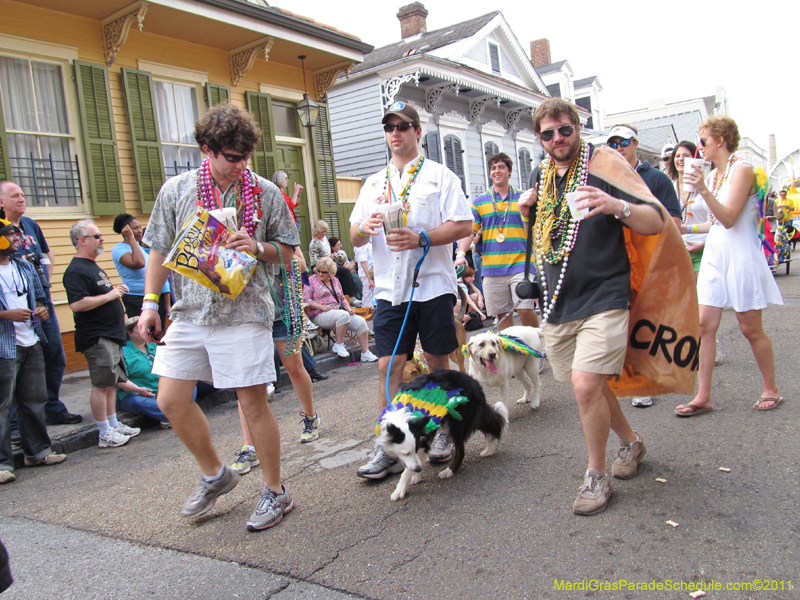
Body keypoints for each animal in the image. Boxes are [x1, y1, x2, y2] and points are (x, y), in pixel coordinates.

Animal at [374, 370, 506, 502]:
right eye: (406, 453)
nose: (418, 469)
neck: (403, 415)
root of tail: (473, 380)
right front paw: (416, 475)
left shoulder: (423, 438)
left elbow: (406, 471)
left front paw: (400, 490)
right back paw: (490, 450)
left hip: (458, 424)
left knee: (461, 451)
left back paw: (449, 471)